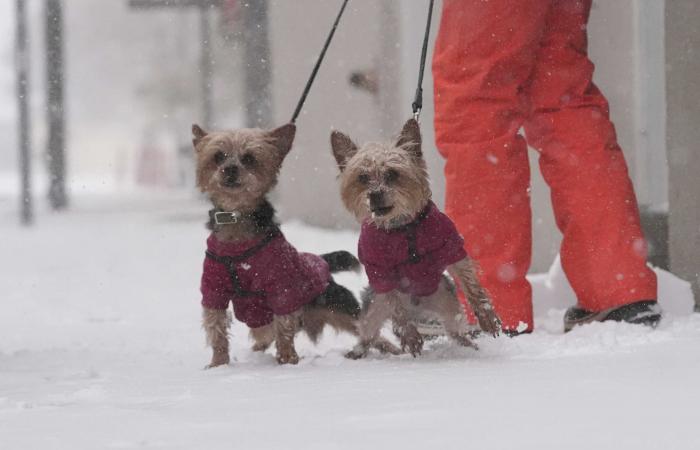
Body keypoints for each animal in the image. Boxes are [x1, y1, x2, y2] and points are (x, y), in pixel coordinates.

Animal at [194, 122, 400, 366]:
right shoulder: (213, 288)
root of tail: (320, 261)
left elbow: (284, 327)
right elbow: (216, 327)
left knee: (368, 329)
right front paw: (218, 363)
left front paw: (287, 360)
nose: (230, 169)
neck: (236, 221)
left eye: (249, 158)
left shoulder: (282, 288)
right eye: (218, 156)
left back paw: (392, 349)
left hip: (339, 306)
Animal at [330, 118, 500, 358]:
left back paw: (469, 346)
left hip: (446, 301)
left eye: (392, 174)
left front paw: (486, 315)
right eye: (362, 177)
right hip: (374, 306)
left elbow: (470, 282)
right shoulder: (380, 272)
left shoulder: (451, 247)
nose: (375, 194)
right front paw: (410, 336)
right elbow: (395, 305)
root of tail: (417, 308)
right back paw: (358, 352)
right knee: (369, 333)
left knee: (455, 330)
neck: (401, 227)